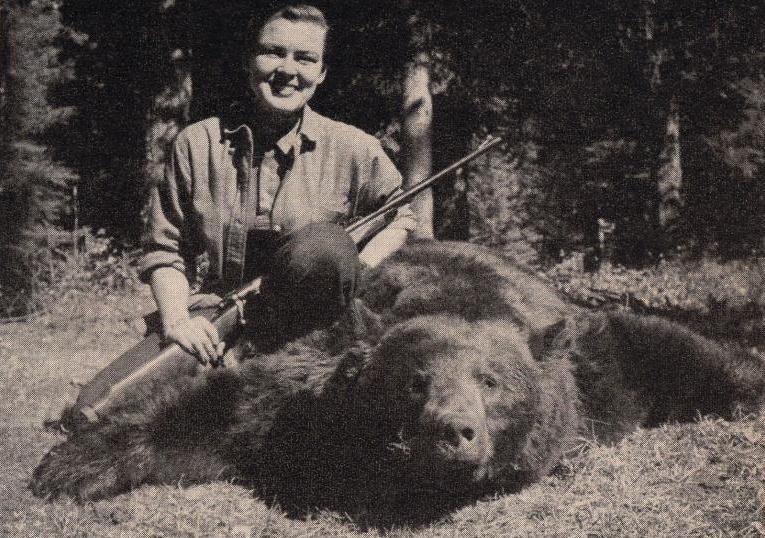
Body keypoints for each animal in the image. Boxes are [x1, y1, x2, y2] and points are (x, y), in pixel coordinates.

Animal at [31, 239, 764, 520]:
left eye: (492, 381)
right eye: (413, 381)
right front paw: (71, 463)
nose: (449, 431)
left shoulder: (590, 366)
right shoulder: (303, 388)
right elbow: (210, 412)